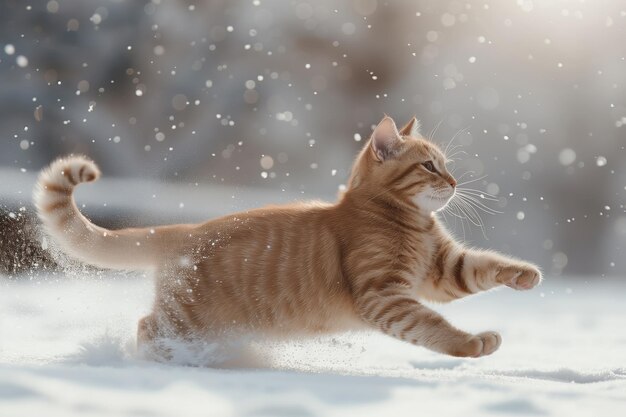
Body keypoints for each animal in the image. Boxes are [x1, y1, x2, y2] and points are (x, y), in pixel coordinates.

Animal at [34, 116, 540, 358]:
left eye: (444, 165)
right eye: (430, 166)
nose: (453, 182)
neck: (410, 221)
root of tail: (188, 229)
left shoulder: (442, 271)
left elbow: (485, 266)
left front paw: (526, 275)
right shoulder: (385, 295)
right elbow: (432, 325)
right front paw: (469, 344)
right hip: (188, 319)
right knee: (146, 327)